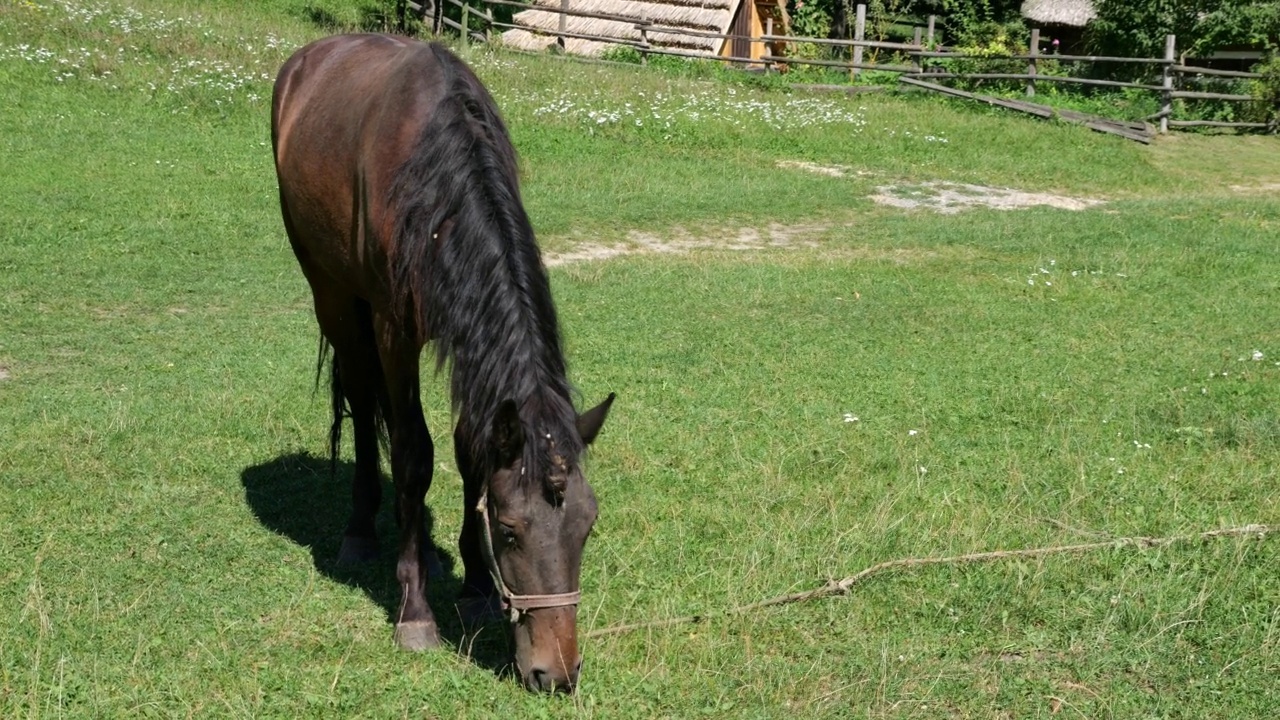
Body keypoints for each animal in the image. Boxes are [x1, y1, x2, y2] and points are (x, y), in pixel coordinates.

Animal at [270, 35, 614, 691]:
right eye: (510, 530)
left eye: (587, 525)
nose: (556, 674)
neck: (436, 178)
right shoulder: (394, 329)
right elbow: (412, 455)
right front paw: (416, 612)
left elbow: (469, 447)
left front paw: (475, 585)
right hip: (333, 294)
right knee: (362, 403)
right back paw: (362, 532)